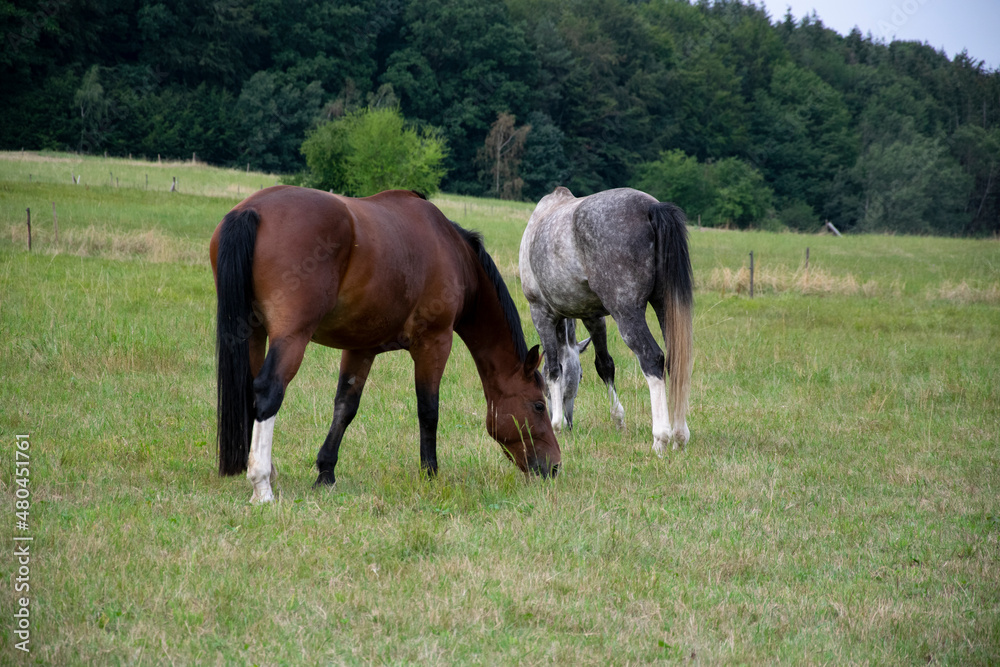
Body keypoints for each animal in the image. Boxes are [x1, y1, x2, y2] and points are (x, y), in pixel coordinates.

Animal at [209, 185, 564, 504]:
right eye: (538, 405)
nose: (555, 466)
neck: (451, 251)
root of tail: (251, 210)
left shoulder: (360, 348)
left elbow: (345, 407)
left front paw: (326, 474)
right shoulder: (434, 343)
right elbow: (428, 409)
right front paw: (430, 473)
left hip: (253, 335)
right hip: (291, 336)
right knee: (269, 391)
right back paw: (261, 484)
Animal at [520, 188, 692, 454]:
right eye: (581, 377)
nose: (569, 423)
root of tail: (650, 208)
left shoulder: (541, 314)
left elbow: (552, 369)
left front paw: (555, 425)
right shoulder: (593, 317)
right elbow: (604, 365)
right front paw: (618, 419)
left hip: (627, 314)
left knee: (652, 358)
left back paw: (661, 439)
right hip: (665, 307)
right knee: (675, 360)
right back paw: (680, 437)